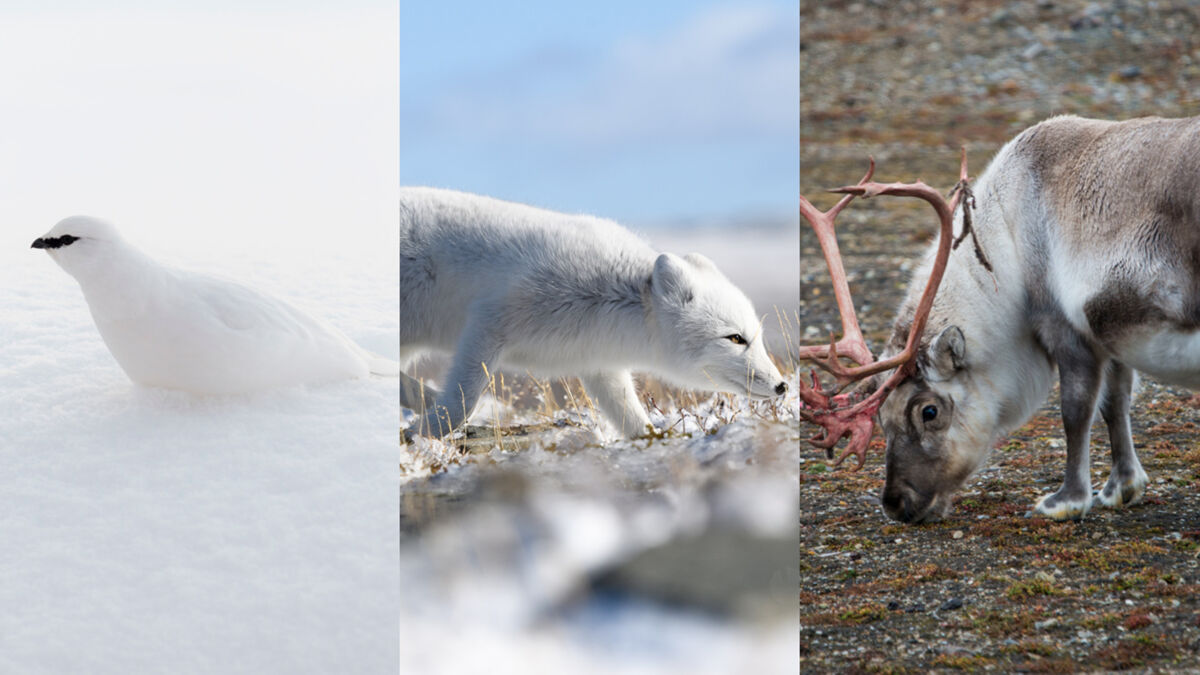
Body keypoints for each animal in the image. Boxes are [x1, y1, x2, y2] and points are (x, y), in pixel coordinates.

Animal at [399, 187, 789, 439]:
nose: (783, 385)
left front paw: (652, 439)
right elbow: (461, 402)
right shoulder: (488, 323)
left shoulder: (599, 363)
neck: (612, 296)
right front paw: (426, 431)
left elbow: (629, 414)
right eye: (735, 338)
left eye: (756, 337)